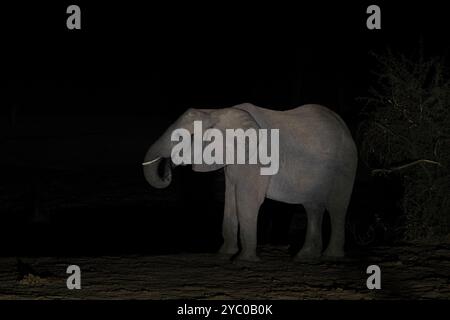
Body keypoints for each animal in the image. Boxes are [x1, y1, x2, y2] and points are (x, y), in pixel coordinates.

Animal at [142, 104, 356, 262]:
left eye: (185, 138)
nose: (170, 168)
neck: (216, 111)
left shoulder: (258, 157)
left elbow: (247, 200)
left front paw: (243, 260)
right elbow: (230, 199)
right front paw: (225, 254)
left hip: (345, 164)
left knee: (337, 207)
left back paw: (331, 256)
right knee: (313, 206)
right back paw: (305, 256)